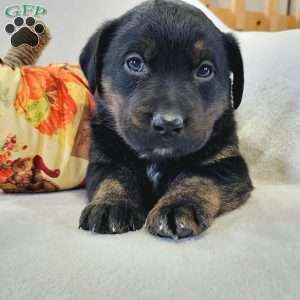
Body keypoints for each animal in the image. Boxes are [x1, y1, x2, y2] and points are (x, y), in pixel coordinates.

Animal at [78, 0, 253, 239]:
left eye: (205, 70)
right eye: (134, 63)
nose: (169, 124)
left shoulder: (228, 164)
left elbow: (197, 176)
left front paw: (178, 206)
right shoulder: (103, 160)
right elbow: (116, 176)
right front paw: (111, 204)